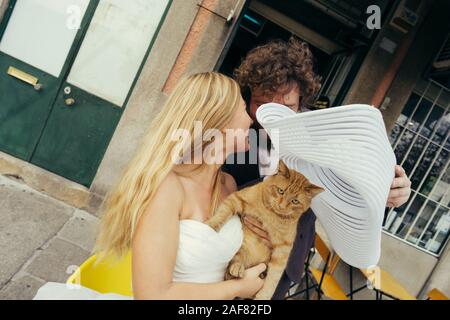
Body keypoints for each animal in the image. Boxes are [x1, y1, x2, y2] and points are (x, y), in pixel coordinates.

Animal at [207, 161, 324, 298]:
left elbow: (272, 280)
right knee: (231, 268)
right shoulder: (237, 198)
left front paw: (263, 296)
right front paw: (210, 225)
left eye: (295, 201)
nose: (281, 206)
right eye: (280, 191)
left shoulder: (283, 251)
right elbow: (221, 214)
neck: (272, 214)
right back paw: (237, 268)